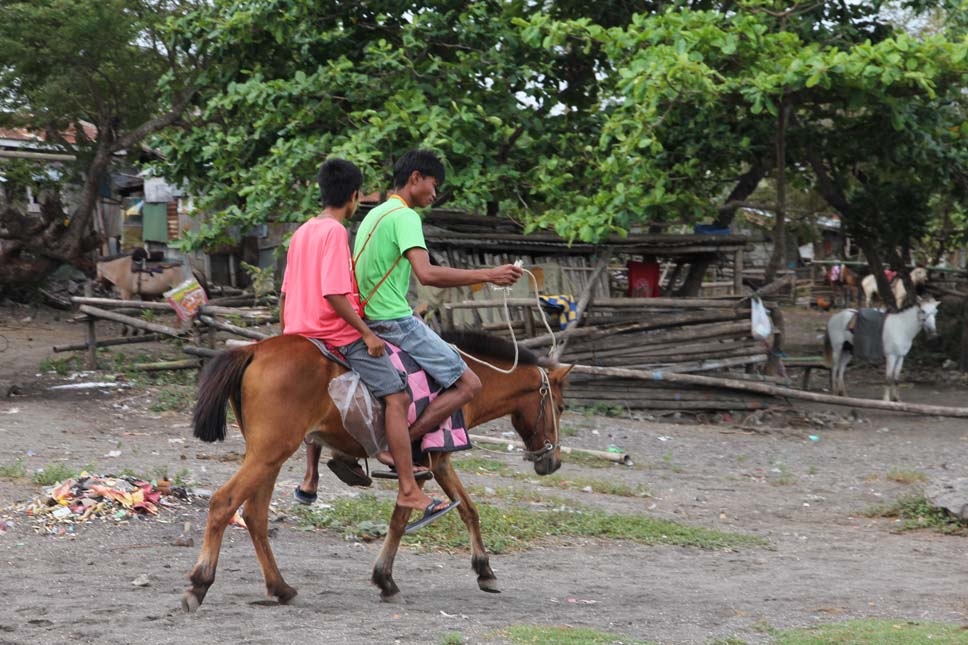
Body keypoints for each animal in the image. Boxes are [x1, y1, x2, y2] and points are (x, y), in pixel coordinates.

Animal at [185, 330, 572, 612]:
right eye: (561, 407)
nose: (552, 461)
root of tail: (254, 350)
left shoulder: (440, 460)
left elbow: (468, 510)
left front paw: (485, 570)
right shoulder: (423, 464)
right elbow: (401, 519)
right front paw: (385, 579)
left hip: (269, 455)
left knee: (255, 515)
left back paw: (280, 588)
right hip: (269, 452)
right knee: (223, 503)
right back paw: (199, 584)